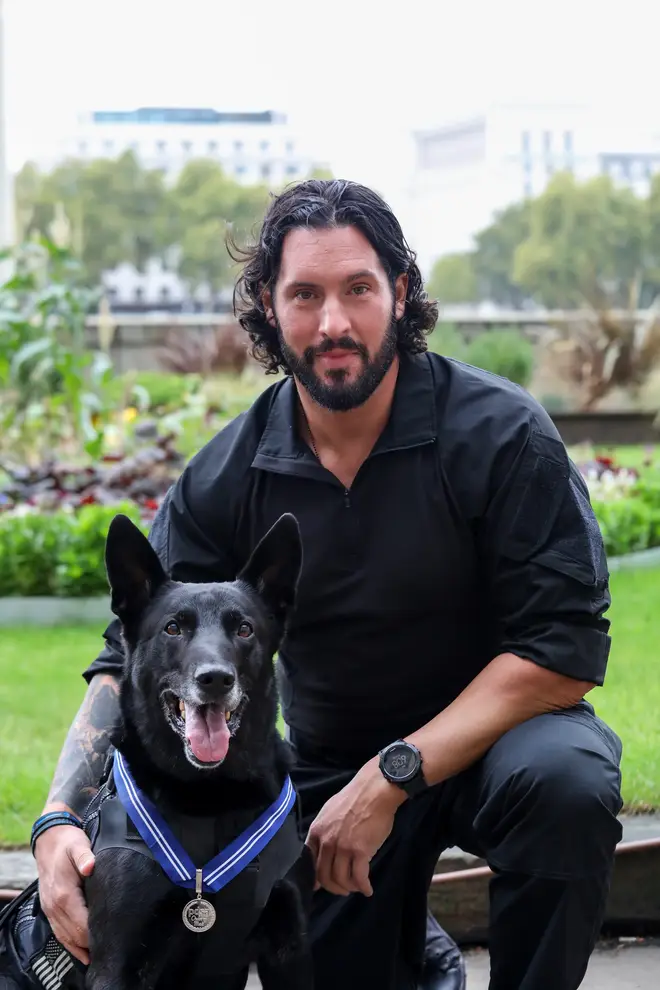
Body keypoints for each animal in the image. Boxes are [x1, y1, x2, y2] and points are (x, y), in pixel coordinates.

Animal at [0, 516, 314, 990]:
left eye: (244, 629)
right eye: (173, 628)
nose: (215, 679)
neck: (209, 797)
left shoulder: (289, 952)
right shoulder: (117, 964)